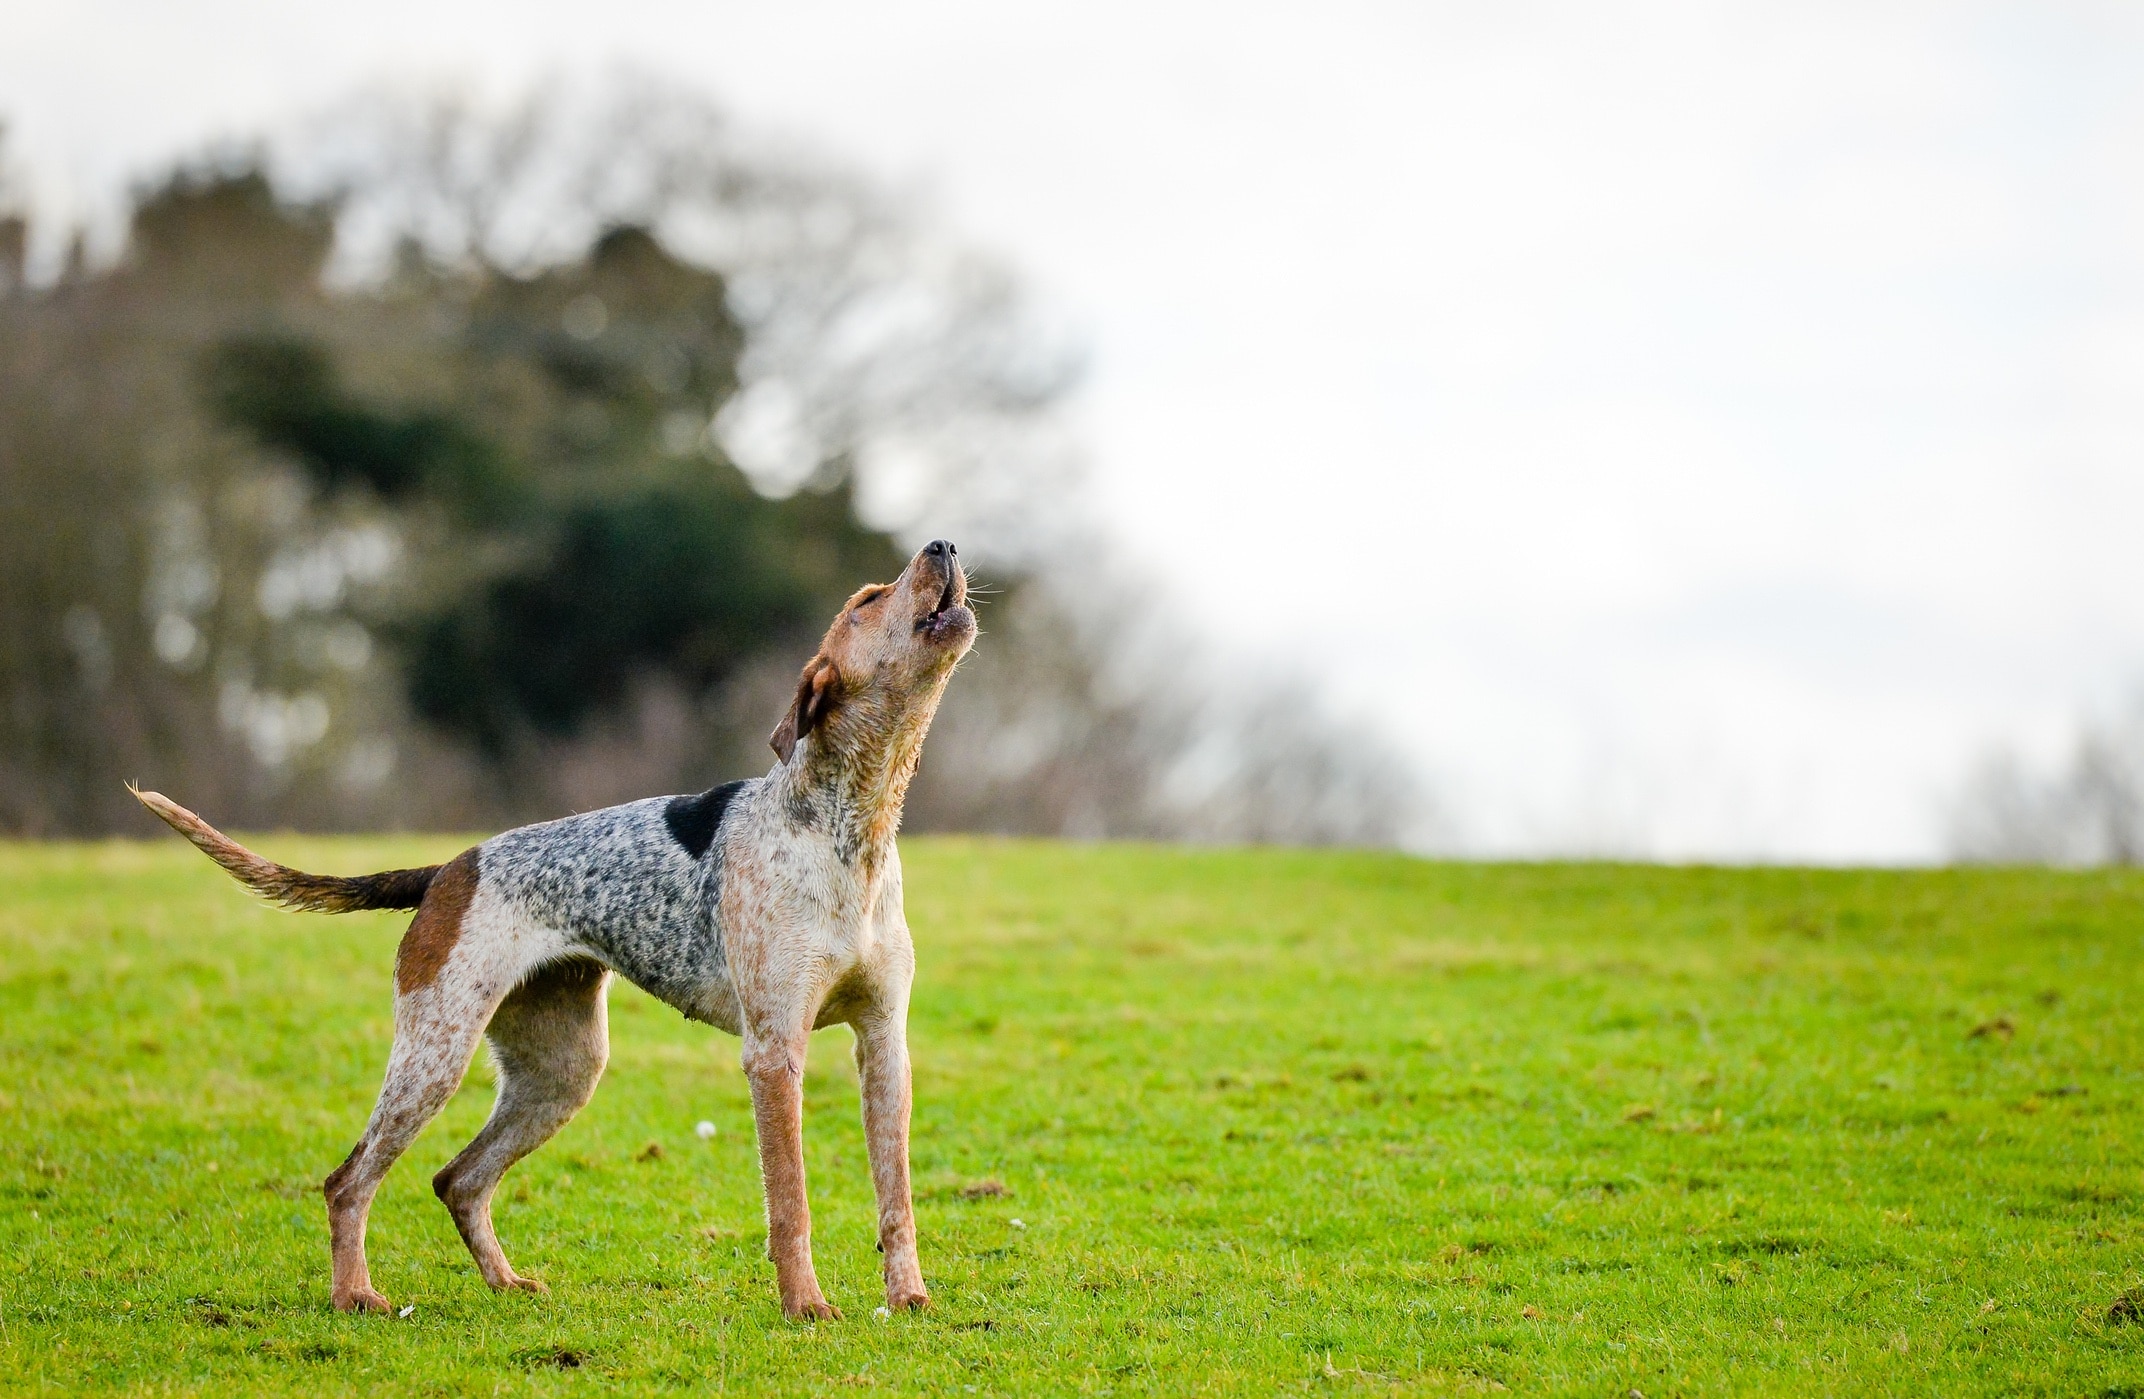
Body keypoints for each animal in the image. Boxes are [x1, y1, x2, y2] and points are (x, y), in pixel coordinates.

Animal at [127, 537, 981, 1319]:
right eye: (868, 598)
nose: (942, 544)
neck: (851, 825)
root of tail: (447, 868)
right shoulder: (775, 1052)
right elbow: (790, 1202)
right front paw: (805, 1304)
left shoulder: (885, 1044)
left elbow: (897, 1199)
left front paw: (908, 1296)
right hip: (434, 1056)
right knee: (350, 1181)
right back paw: (355, 1293)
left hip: (561, 1070)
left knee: (457, 1179)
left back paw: (505, 1283)